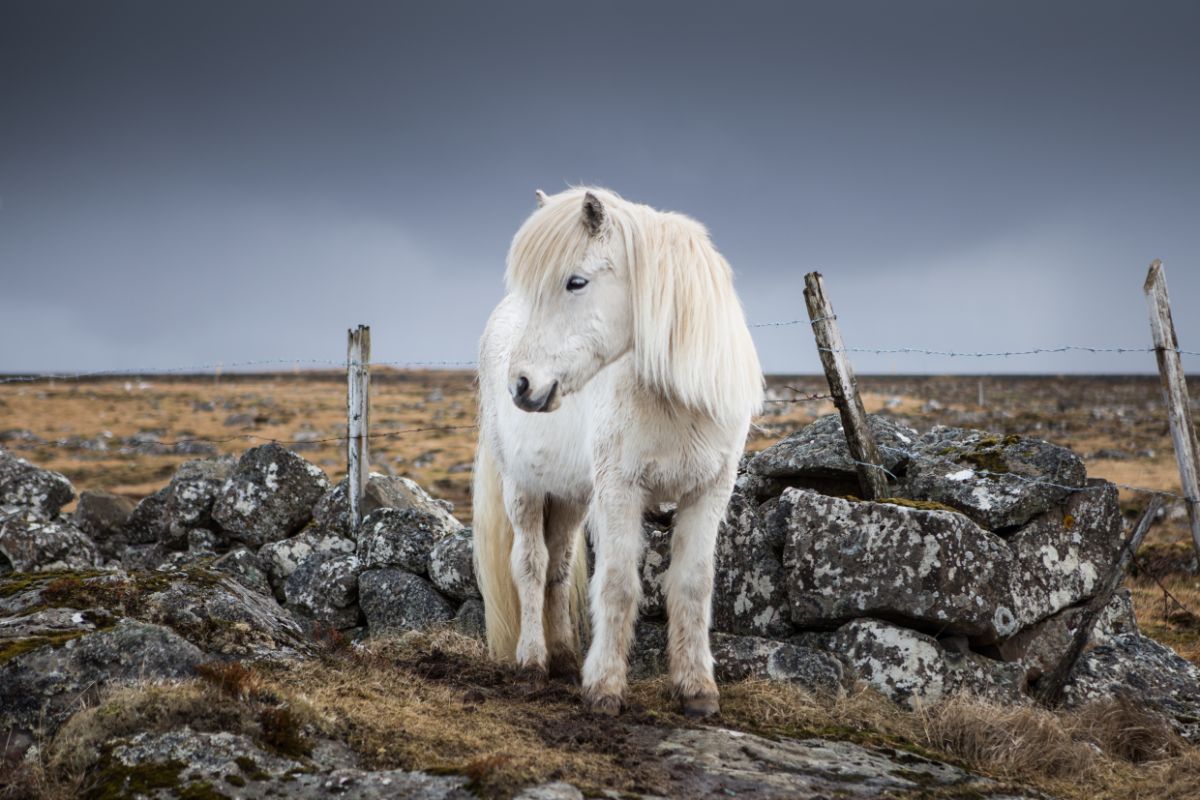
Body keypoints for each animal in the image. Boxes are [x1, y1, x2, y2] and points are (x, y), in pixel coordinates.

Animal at [470, 189, 758, 719]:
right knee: (530, 565)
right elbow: (619, 584)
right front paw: (604, 687)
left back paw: (565, 658)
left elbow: (693, 584)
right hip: (523, 487)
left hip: (571, 496)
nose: (521, 384)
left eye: (576, 282)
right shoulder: (621, 490)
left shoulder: (708, 492)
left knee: (558, 568)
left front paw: (697, 690)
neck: (674, 398)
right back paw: (532, 663)